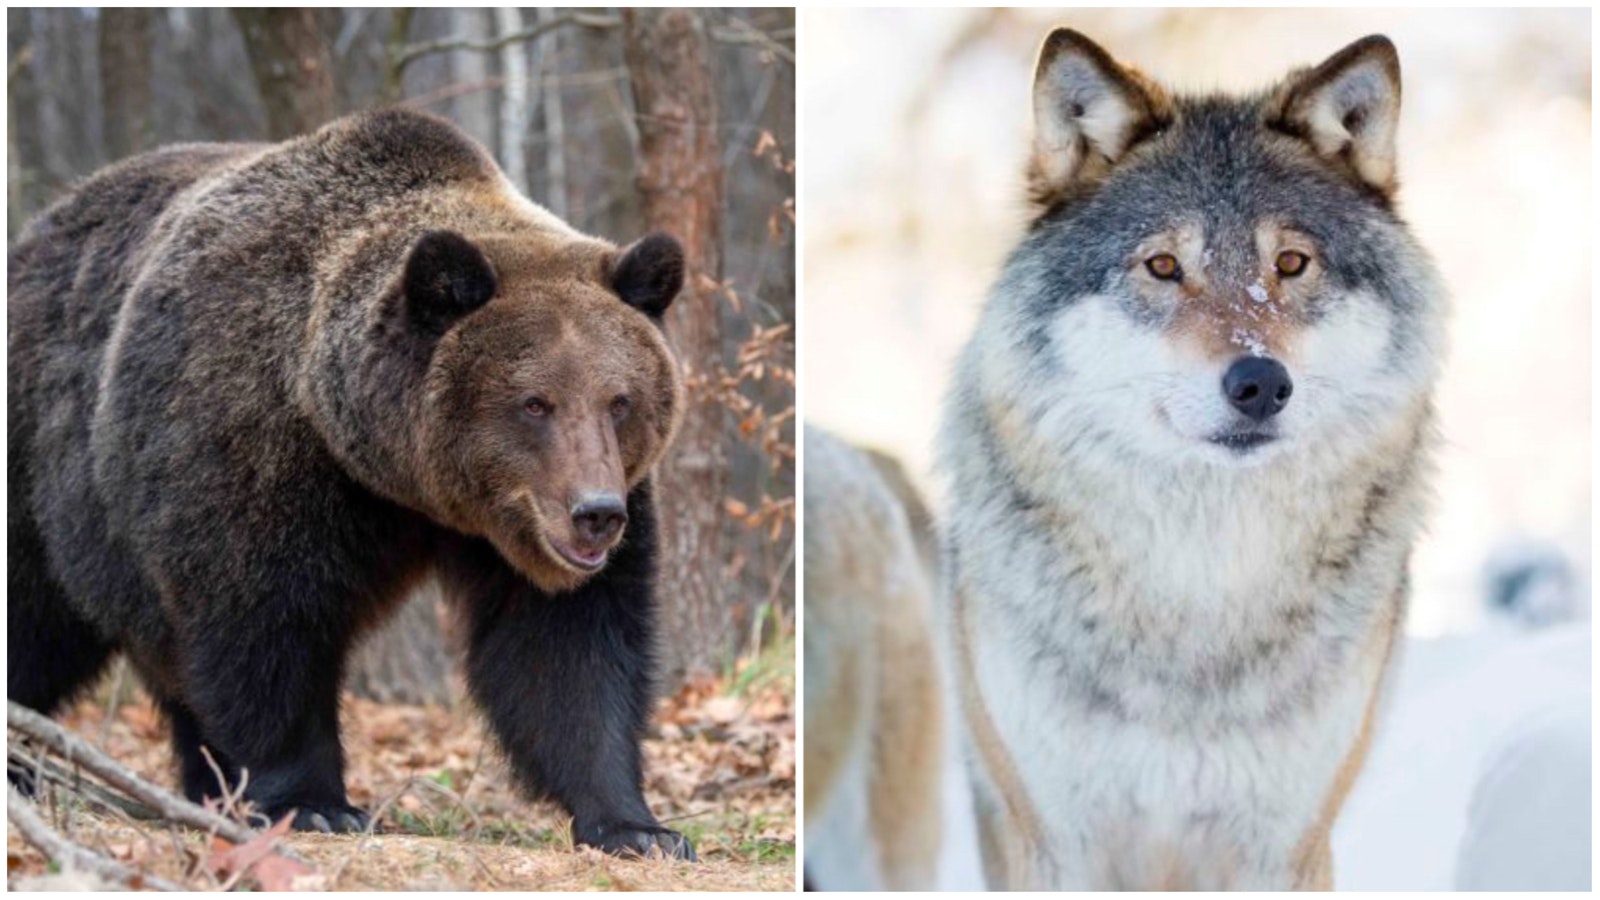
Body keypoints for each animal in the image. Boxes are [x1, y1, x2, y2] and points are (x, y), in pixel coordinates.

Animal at [7, 108, 695, 859]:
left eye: (619, 400)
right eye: (534, 402)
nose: (595, 513)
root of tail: (38, 225)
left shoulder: (534, 528)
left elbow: (568, 649)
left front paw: (638, 826)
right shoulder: (252, 453)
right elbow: (262, 627)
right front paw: (314, 803)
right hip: (42, 464)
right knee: (34, 621)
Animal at [937, 30, 1445, 889]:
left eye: (1292, 264)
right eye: (1164, 267)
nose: (1260, 383)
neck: (1202, 584)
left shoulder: (1286, 847)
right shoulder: (1057, 842)